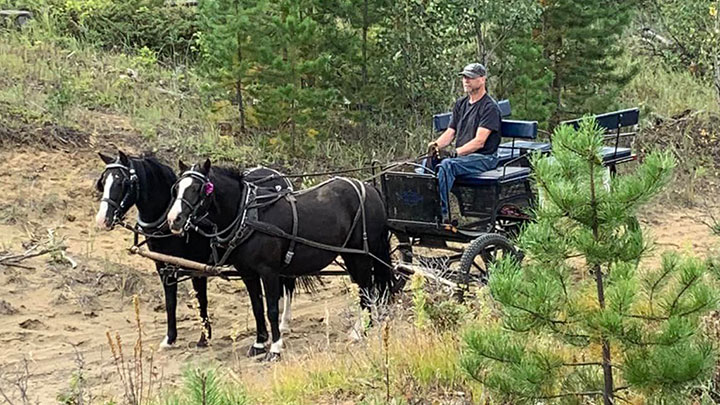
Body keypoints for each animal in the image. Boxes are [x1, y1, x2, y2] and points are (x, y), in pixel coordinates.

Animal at [95, 152, 298, 350]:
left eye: (122, 183)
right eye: (103, 182)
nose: (102, 220)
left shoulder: (197, 268)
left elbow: (201, 301)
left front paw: (204, 338)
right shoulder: (164, 267)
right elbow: (170, 302)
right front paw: (170, 338)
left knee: (287, 285)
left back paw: (283, 323)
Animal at [167, 158, 396, 360]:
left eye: (198, 188)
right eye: (176, 188)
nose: (173, 219)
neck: (249, 216)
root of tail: (369, 188)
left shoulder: (269, 272)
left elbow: (272, 309)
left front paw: (275, 348)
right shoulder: (248, 273)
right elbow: (257, 308)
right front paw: (259, 343)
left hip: (362, 254)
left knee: (367, 289)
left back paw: (361, 330)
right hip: (350, 255)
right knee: (365, 289)